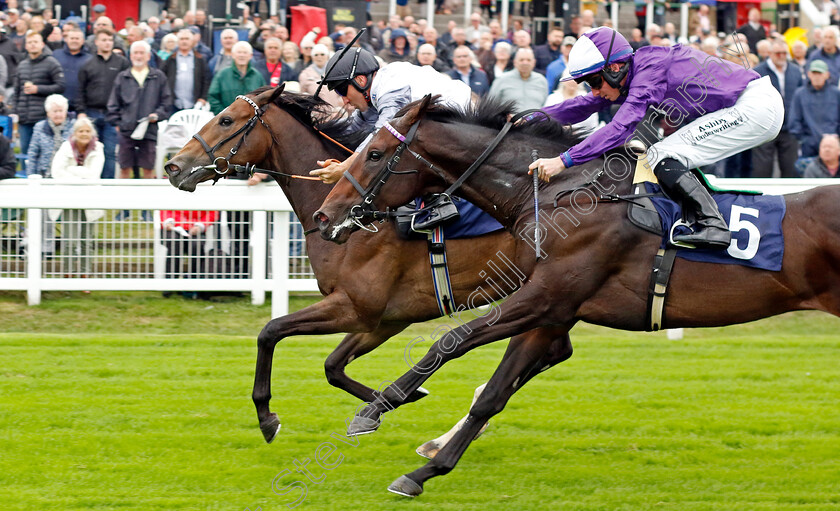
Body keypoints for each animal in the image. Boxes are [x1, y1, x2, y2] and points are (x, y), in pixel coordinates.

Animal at [163, 87, 576, 456]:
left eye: (226, 119)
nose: (173, 166)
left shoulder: (357, 307)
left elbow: (271, 331)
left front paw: (267, 418)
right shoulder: (384, 318)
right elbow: (332, 365)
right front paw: (397, 399)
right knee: (557, 352)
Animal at [314, 95, 840, 496]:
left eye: (377, 153)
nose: (324, 215)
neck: (565, 194)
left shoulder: (546, 296)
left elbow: (450, 341)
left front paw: (374, 409)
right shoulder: (550, 310)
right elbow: (494, 394)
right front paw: (425, 470)